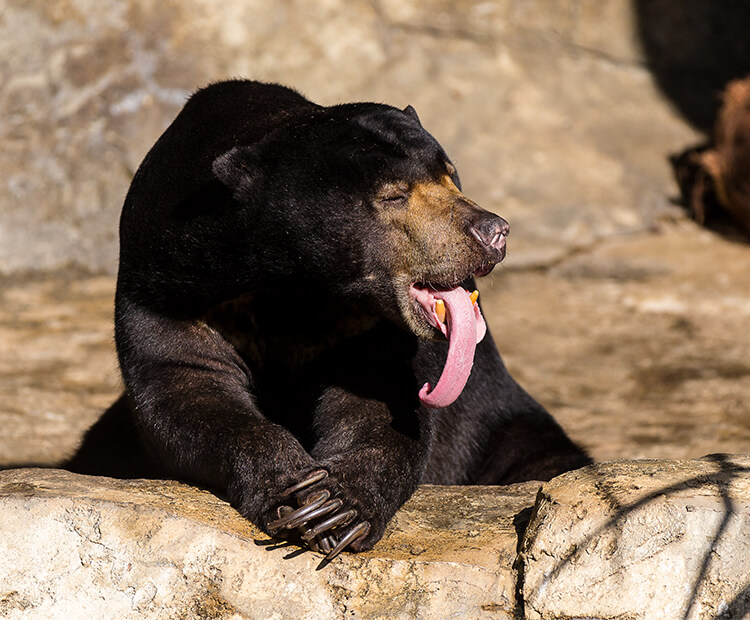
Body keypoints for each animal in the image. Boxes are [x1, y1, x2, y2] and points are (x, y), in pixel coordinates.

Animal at [67, 80, 592, 560]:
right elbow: (185, 386)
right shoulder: (167, 282)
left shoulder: (367, 327)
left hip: (499, 429)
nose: (492, 231)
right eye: (394, 195)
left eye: (451, 176)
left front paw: (336, 506)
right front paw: (292, 493)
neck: (297, 283)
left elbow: (380, 404)